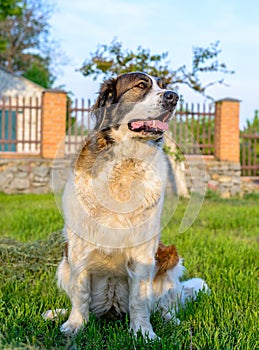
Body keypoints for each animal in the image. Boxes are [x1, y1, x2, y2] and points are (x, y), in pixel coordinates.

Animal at [47, 73, 209, 340]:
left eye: (163, 86)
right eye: (141, 85)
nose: (173, 96)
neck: (125, 163)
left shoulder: (143, 251)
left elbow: (140, 298)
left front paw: (143, 332)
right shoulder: (78, 248)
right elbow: (80, 293)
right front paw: (75, 325)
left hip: (170, 258)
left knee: (163, 305)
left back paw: (172, 322)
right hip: (64, 260)